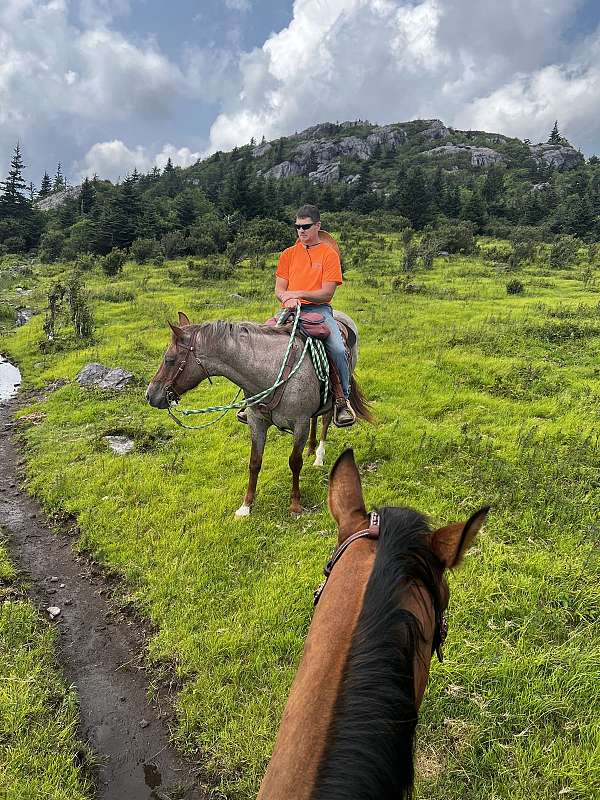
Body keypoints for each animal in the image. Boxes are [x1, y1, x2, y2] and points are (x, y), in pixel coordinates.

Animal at [146, 310, 370, 516]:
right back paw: (311, 449)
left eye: (169, 359)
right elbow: (254, 462)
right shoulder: (257, 421)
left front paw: (295, 505)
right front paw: (246, 506)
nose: (150, 395)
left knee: (325, 419)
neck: (273, 369)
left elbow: (295, 462)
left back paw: (319, 456)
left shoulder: (300, 424)